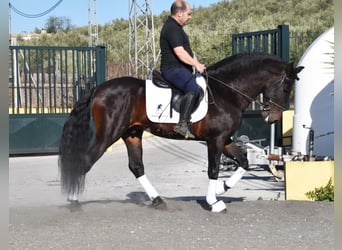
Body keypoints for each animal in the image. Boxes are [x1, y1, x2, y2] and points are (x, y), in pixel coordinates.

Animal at [58, 53, 304, 212]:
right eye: (285, 87)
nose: (273, 118)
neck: (226, 92)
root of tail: (99, 88)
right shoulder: (215, 140)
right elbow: (213, 169)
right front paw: (213, 202)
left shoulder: (225, 139)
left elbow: (243, 162)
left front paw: (223, 188)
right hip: (109, 134)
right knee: (86, 160)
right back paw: (73, 201)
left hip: (132, 133)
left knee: (136, 167)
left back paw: (157, 200)